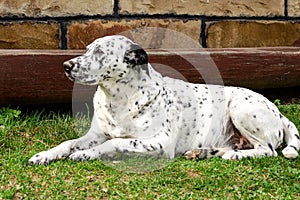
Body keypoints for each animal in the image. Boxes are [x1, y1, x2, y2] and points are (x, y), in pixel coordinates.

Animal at [28, 35, 300, 165]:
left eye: (101, 53)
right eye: (87, 50)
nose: (66, 65)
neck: (119, 100)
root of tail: (278, 112)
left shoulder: (159, 142)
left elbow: (114, 143)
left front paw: (87, 154)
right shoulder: (94, 134)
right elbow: (68, 143)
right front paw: (45, 155)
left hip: (241, 107)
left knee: (267, 151)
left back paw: (235, 156)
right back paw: (203, 152)